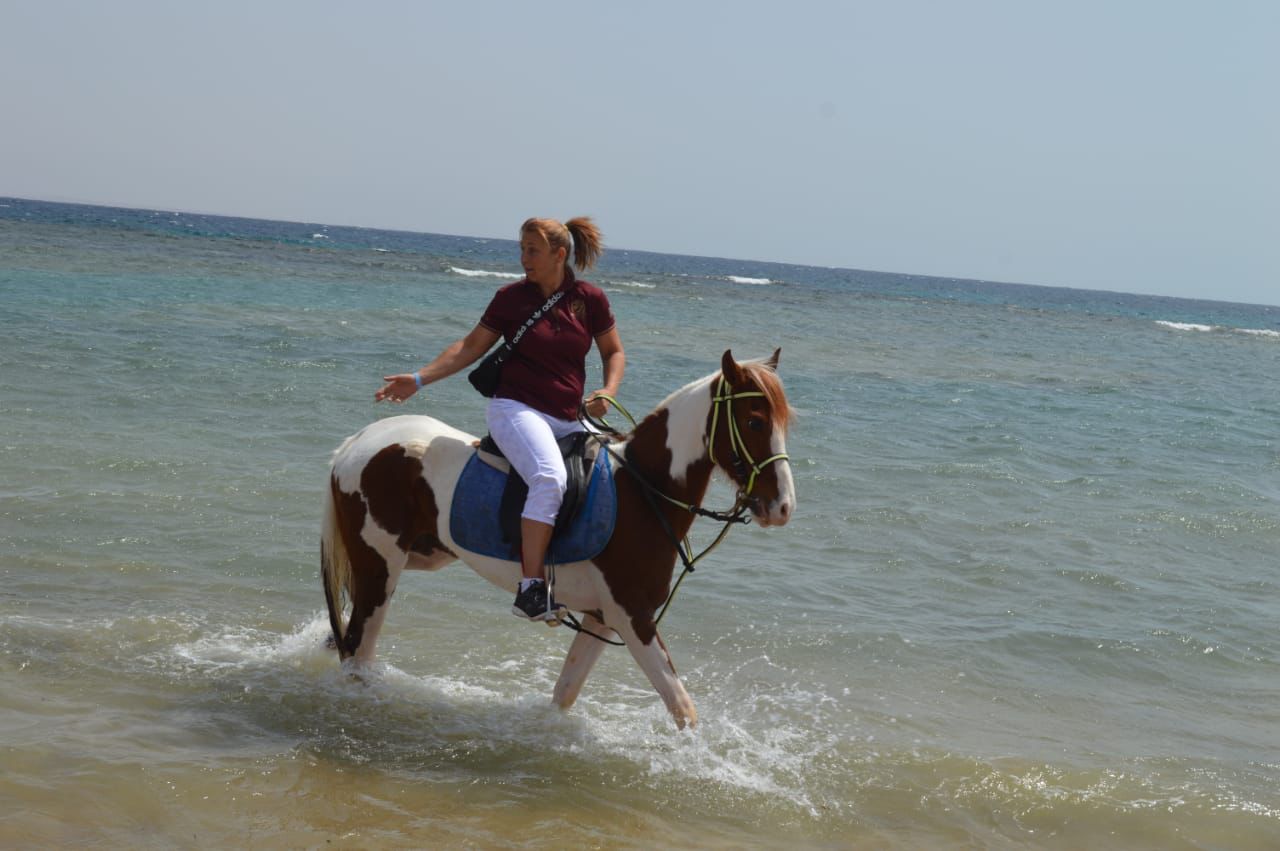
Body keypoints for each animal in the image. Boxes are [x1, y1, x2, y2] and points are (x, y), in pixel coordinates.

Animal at [321, 349, 796, 729]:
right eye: (754, 422)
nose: (783, 507)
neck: (642, 492)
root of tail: (356, 444)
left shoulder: (601, 617)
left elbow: (565, 692)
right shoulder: (633, 617)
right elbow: (682, 707)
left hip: (415, 557)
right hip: (380, 570)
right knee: (356, 649)